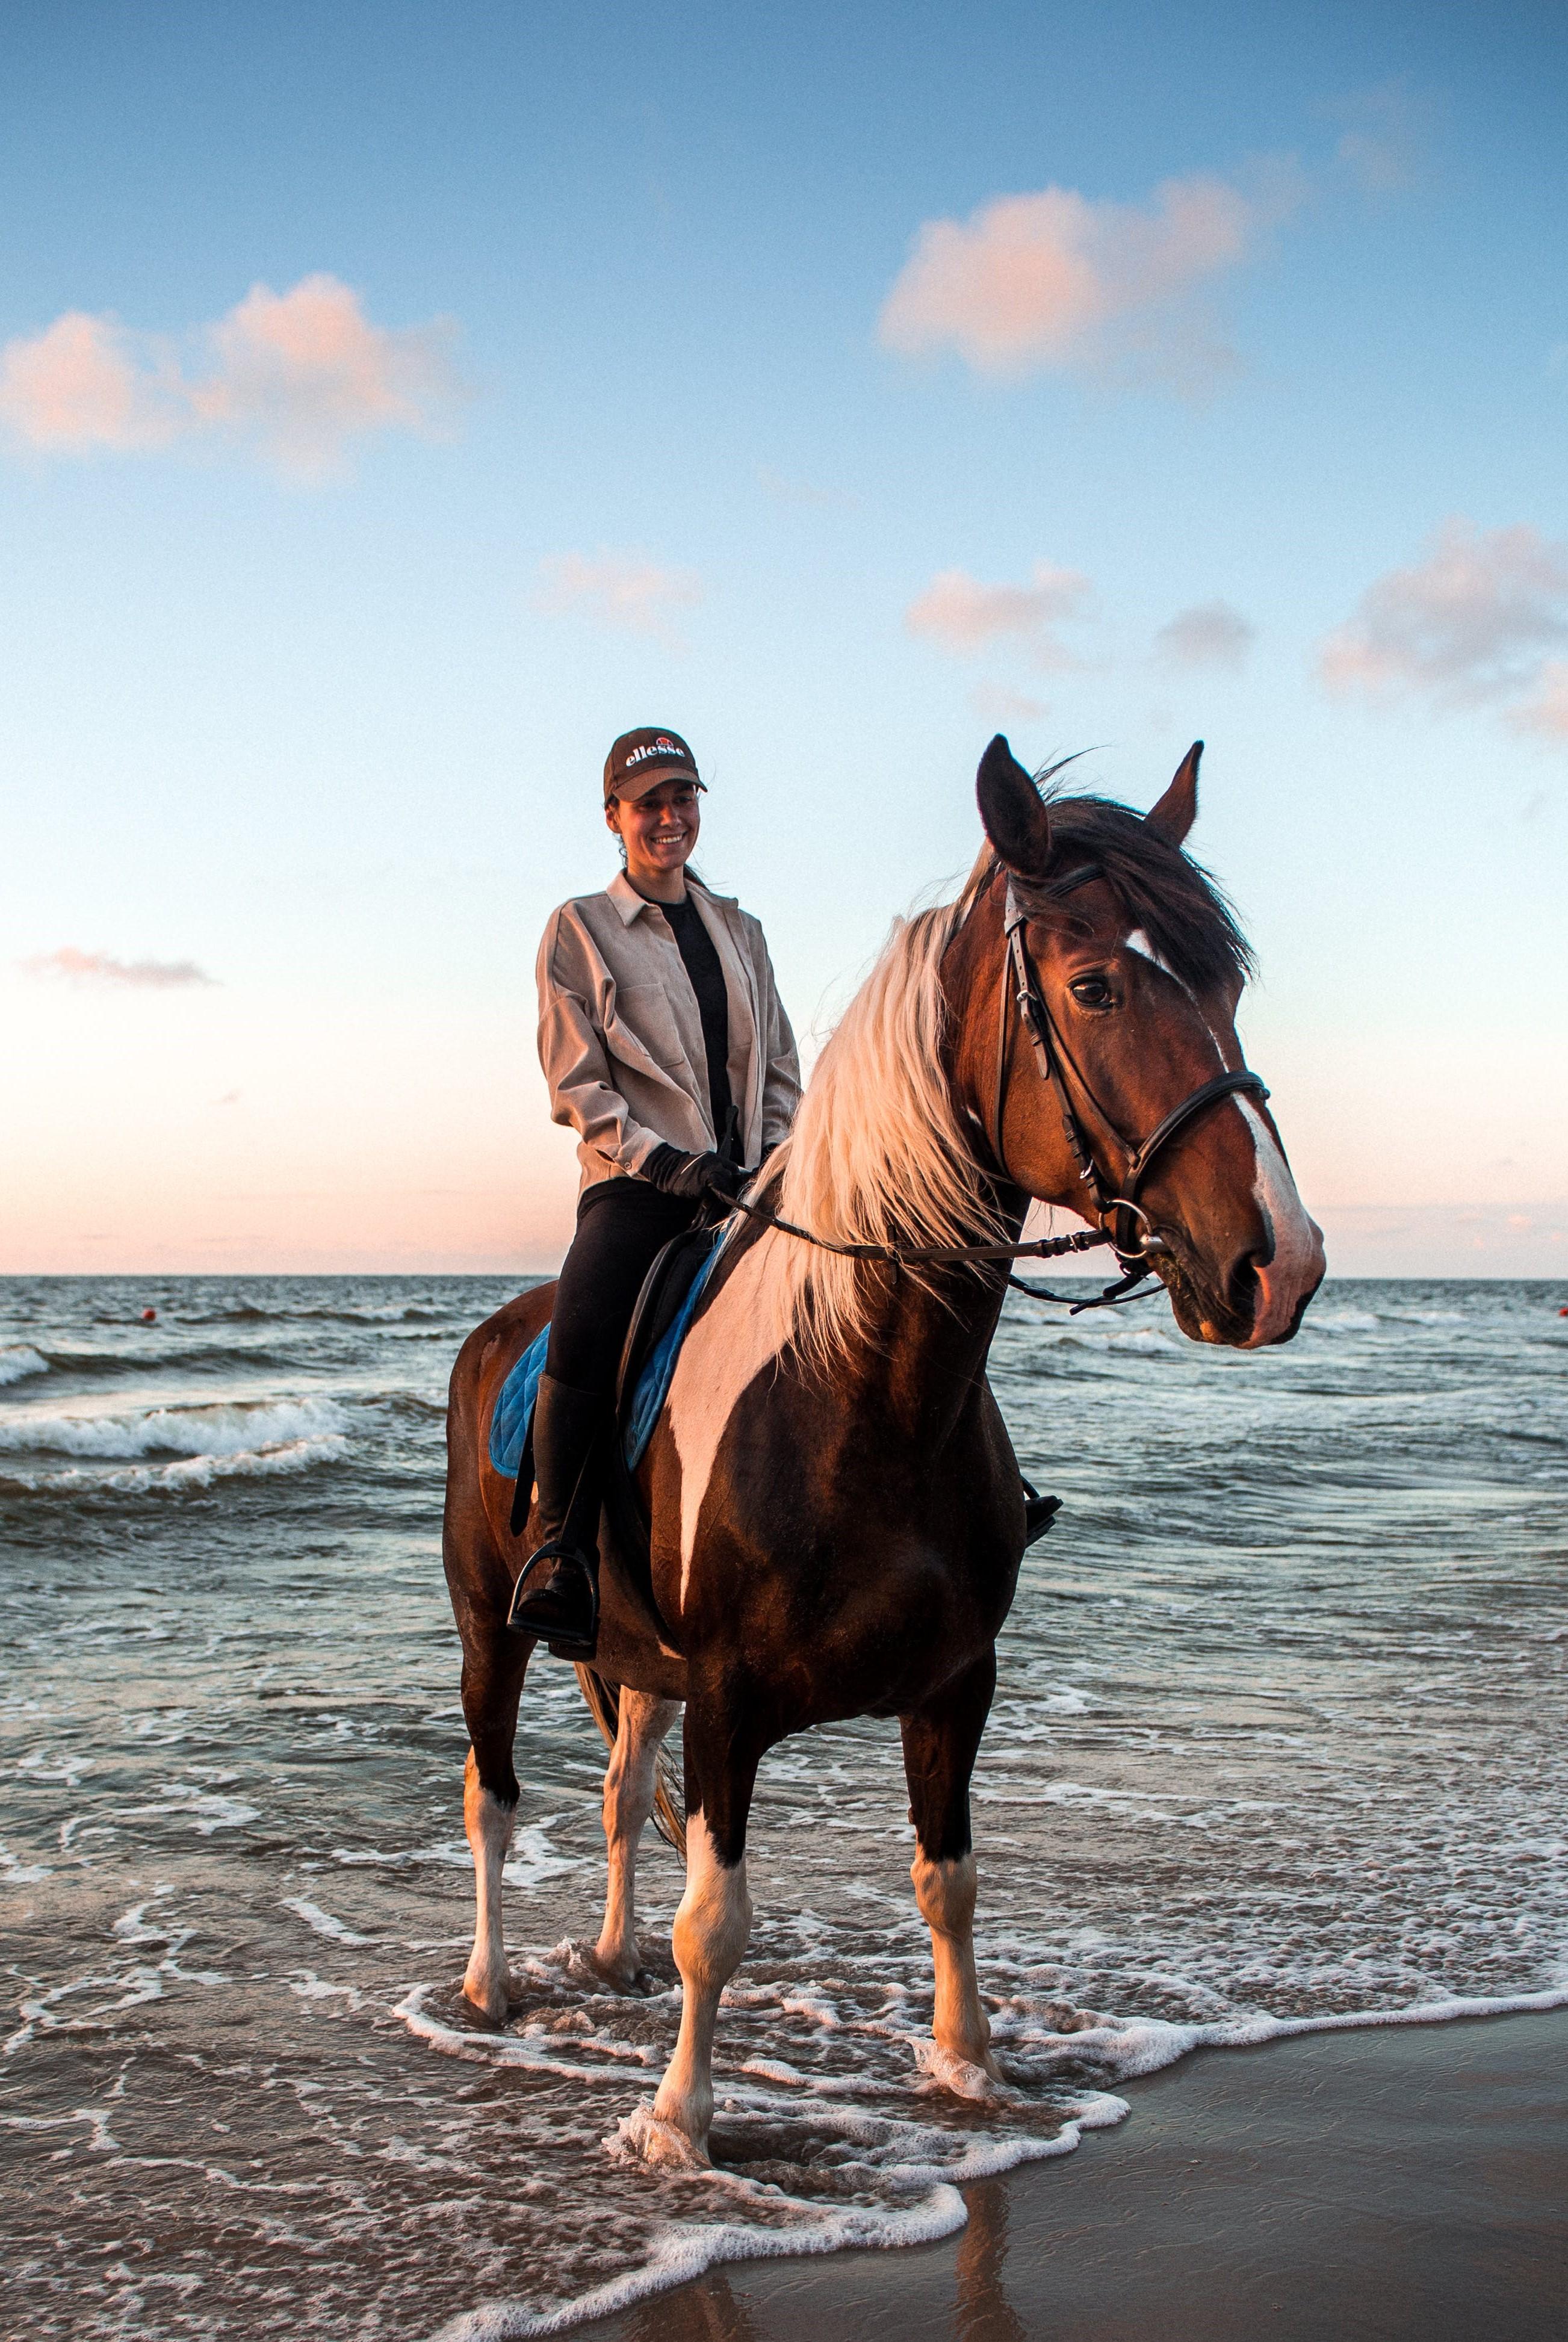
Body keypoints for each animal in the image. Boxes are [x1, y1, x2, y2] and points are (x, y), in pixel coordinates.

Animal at [440, 735, 1325, 2163]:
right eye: (1092, 985)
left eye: (1230, 984)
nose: (1279, 1263)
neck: (864, 1392)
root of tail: (499, 1332)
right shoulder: (730, 1700)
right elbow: (716, 1921)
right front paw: (680, 2123)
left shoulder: (956, 1685)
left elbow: (948, 1881)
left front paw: (971, 2068)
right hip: (492, 1629)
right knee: (494, 1797)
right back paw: (489, 1982)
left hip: (634, 1657)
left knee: (622, 1788)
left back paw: (609, 1956)